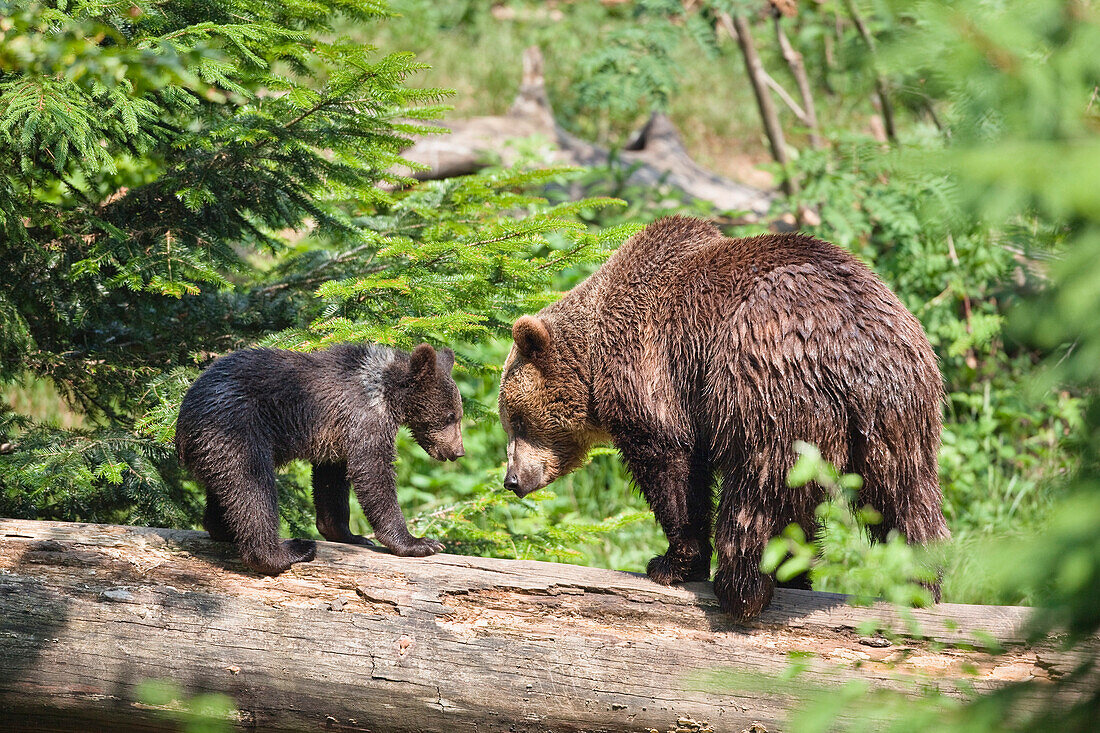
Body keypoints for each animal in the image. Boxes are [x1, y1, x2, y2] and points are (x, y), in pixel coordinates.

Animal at [174, 338, 464, 572]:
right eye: (450, 416)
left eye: (458, 415)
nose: (458, 452)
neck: (387, 393)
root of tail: (182, 424)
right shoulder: (363, 417)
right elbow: (372, 472)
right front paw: (418, 543)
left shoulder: (335, 436)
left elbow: (331, 483)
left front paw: (350, 534)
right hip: (236, 428)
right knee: (252, 488)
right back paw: (287, 552)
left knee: (224, 488)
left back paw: (222, 528)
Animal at [503, 215, 950, 616]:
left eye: (516, 419)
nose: (511, 480)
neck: (595, 364)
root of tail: (849, 348)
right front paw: (797, 578)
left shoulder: (654, 367)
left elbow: (671, 466)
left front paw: (671, 563)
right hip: (900, 411)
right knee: (905, 497)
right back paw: (918, 584)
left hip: (763, 382)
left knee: (757, 489)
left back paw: (741, 589)